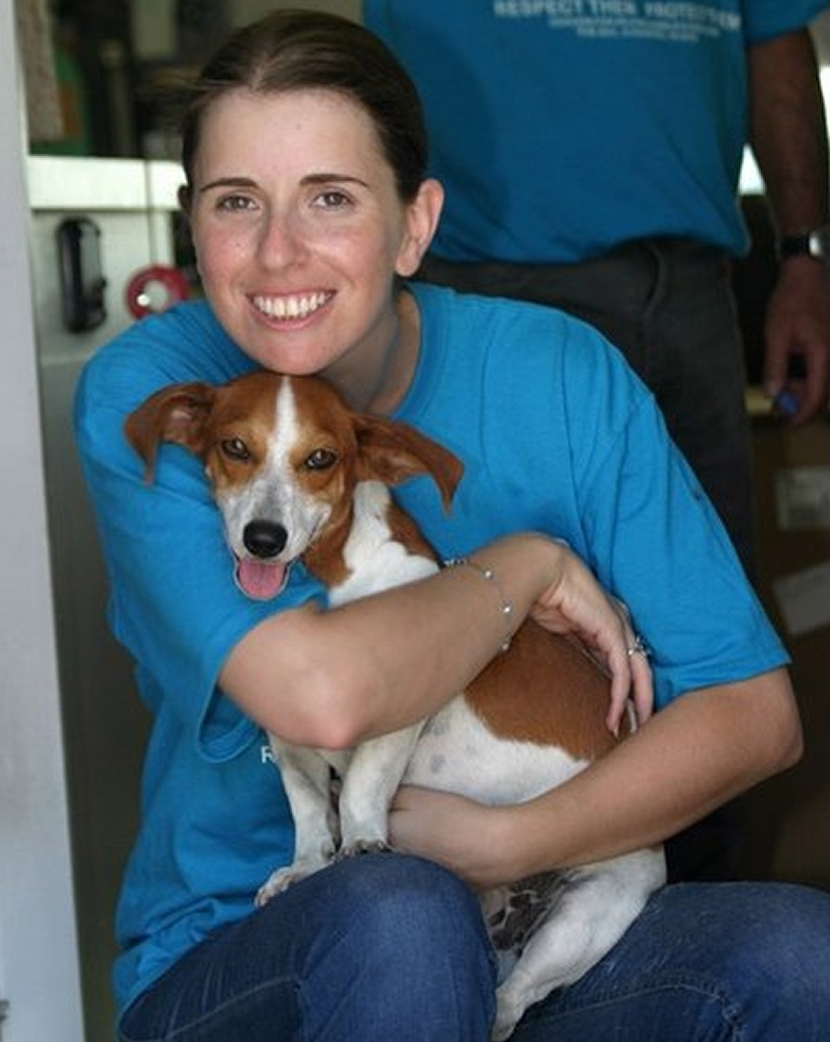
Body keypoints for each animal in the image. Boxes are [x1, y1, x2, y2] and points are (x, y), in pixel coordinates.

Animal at [126, 370, 662, 1037]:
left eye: (321, 459)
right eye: (235, 447)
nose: (264, 540)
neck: (333, 578)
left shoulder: (396, 715)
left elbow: (360, 787)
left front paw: (359, 841)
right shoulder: (290, 736)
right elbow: (308, 809)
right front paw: (306, 866)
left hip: (587, 914)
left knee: (512, 1000)